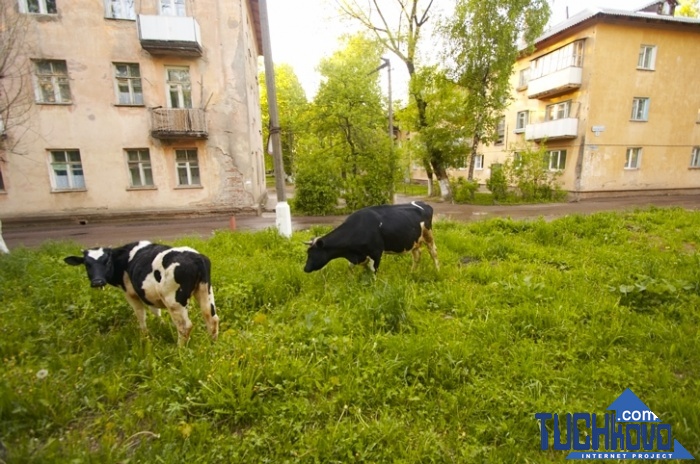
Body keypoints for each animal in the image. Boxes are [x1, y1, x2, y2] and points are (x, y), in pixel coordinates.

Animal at [66, 243, 220, 344]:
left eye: (107, 261)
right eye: (87, 264)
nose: (97, 282)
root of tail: (196, 258)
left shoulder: (131, 294)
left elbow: (140, 315)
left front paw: (144, 335)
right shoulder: (150, 295)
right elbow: (156, 311)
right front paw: (161, 325)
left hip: (174, 301)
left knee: (184, 326)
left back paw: (180, 349)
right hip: (205, 291)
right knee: (211, 317)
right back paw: (212, 343)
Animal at [304, 200, 440, 274]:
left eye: (313, 253)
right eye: (308, 253)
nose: (305, 268)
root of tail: (423, 203)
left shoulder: (376, 252)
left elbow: (373, 271)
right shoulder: (359, 255)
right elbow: (351, 267)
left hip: (428, 236)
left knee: (433, 253)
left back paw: (437, 270)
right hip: (414, 241)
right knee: (417, 256)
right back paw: (412, 272)